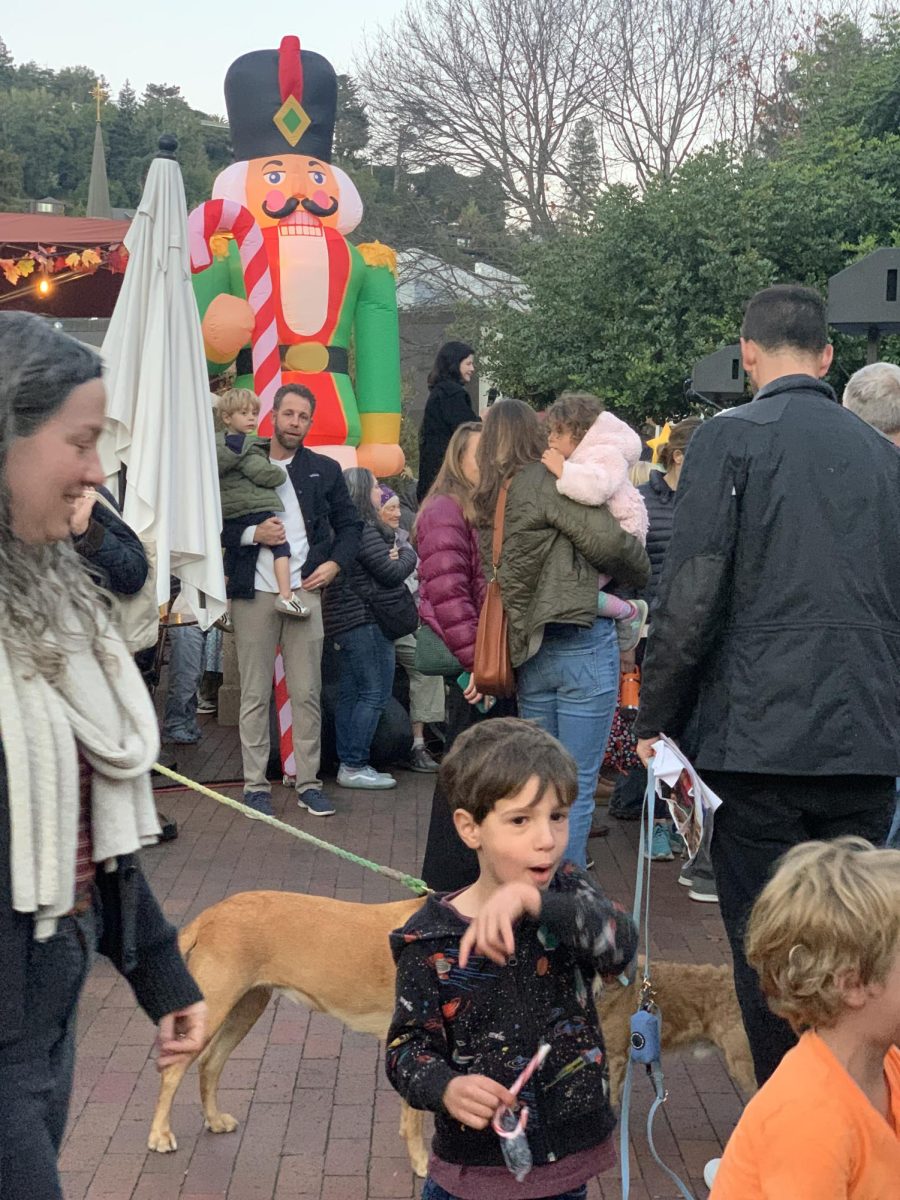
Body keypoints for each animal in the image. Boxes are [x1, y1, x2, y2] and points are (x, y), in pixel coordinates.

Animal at [148, 897, 753, 1176]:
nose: (626, 963)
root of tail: (213, 911)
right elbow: (417, 1116)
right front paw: (422, 1164)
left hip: (246, 1008)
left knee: (208, 1067)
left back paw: (213, 1119)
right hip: (219, 1006)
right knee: (172, 1069)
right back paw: (159, 1136)